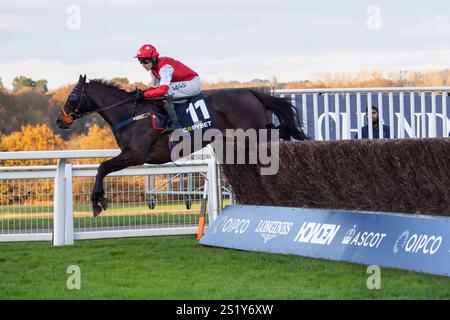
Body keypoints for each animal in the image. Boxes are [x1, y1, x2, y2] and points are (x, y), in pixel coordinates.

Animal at [56, 75, 308, 216]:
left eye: (72, 97)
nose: (60, 121)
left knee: (278, 134)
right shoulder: (130, 155)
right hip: (251, 133)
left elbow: (102, 167)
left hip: (252, 133)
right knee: (279, 131)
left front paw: (97, 202)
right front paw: (99, 200)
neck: (129, 113)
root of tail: (249, 91)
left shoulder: (135, 155)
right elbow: (103, 167)